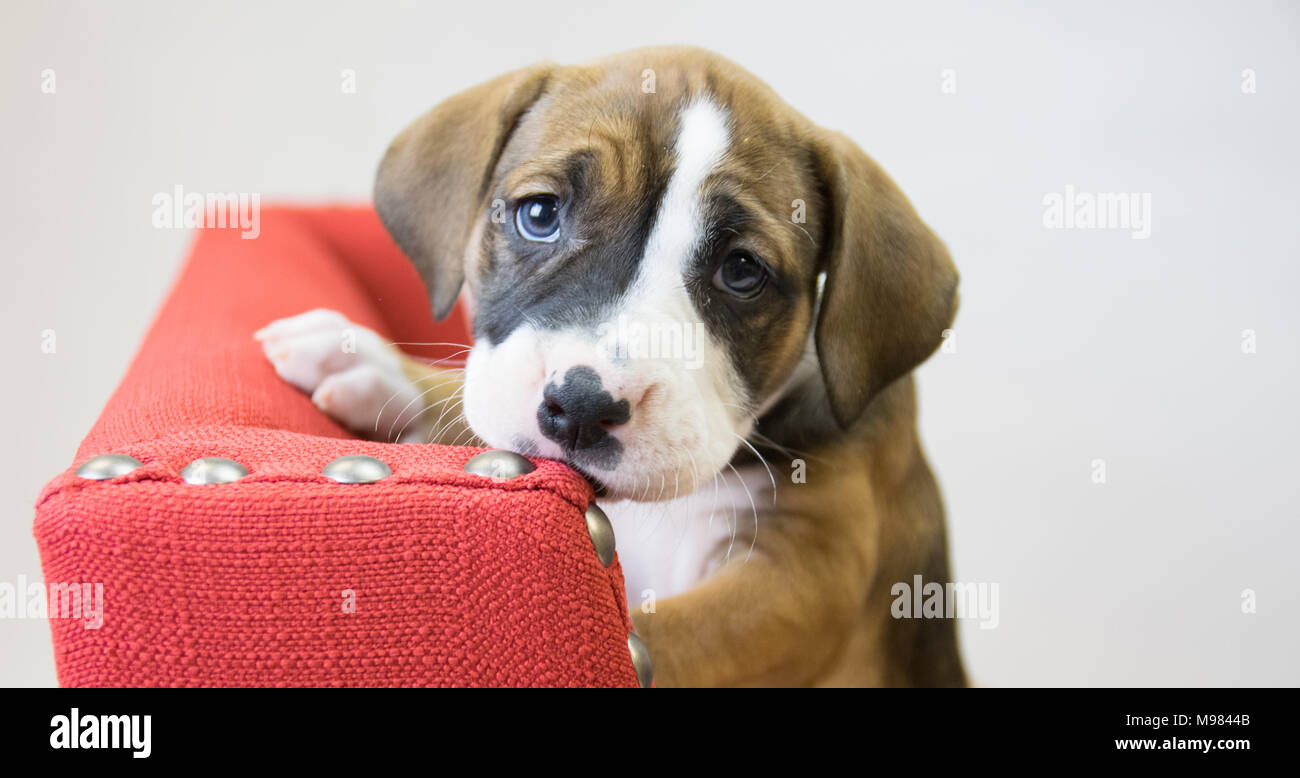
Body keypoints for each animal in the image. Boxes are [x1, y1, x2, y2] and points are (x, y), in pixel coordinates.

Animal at [256, 45, 967, 686]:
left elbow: (657, 638)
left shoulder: (806, 575)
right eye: (539, 214)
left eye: (742, 272)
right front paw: (383, 366)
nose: (581, 406)